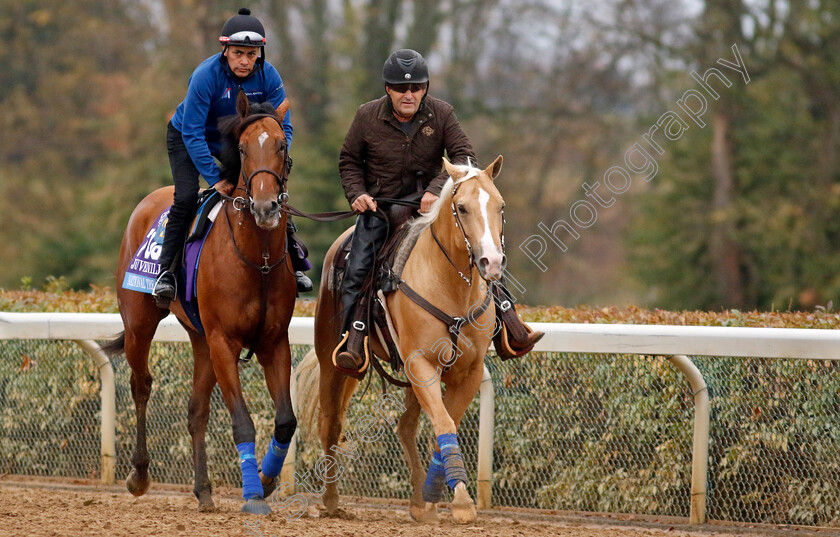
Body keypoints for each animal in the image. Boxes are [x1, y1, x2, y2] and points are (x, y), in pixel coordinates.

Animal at [102, 92, 298, 516]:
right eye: (241, 148)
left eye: (281, 145)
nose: (265, 207)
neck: (256, 260)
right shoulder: (224, 340)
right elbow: (242, 421)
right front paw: (253, 495)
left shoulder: (274, 341)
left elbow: (285, 420)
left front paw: (267, 479)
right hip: (141, 323)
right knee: (141, 384)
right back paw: (139, 475)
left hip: (200, 339)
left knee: (196, 411)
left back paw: (203, 490)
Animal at [306, 156, 508, 524]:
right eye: (462, 207)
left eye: (500, 206)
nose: (492, 262)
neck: (451, 287)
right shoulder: (420, 363)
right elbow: (444, 421)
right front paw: (461, 501)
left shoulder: (468, 373)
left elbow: (445, 424)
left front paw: (432, 498)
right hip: (333, 361)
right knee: (331, 423)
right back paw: (330, 500)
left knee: (405, 426)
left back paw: (417, 500)